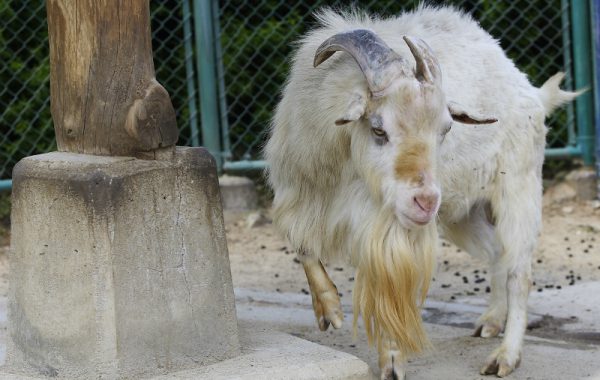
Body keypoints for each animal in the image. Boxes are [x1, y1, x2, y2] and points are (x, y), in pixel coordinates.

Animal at [264, 6, 580, 380]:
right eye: (378, 129)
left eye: (445, 129)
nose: (426, 202)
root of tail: (530, 91)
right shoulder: (298, 195)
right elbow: (302, 247)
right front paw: (329, 311)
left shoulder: (386, 226)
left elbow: (387, 283)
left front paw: (392, 361)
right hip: (465, 212)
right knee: (496, 252)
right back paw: (490, 321)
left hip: (519, 188)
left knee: (520, 271)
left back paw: (505, 356)